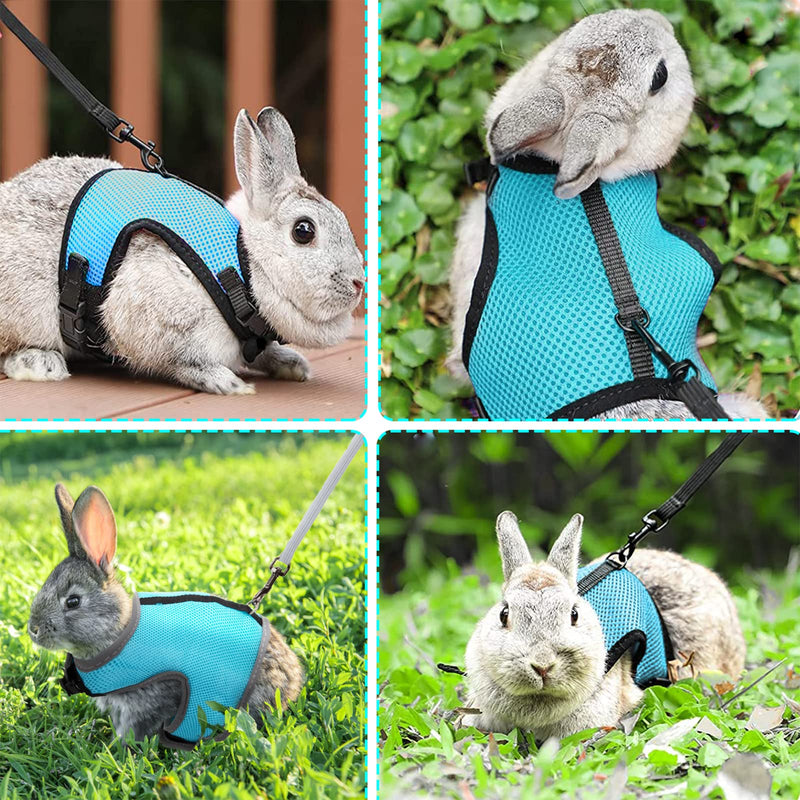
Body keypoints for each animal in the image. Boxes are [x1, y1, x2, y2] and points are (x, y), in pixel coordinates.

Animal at [0, 107, 364, 395]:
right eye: (303, 231)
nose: (359, 282)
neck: (243, 266)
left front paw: (292, 364)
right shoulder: (147, 316)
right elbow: (181, 361)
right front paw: (228, 384)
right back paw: (41, 364)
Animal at [27, 483, 304, 743]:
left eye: (73, 601)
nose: (33, 629)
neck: (118, 632)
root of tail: (293, 683)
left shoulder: (147, 700)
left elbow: (134, 728)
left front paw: (117, 748)